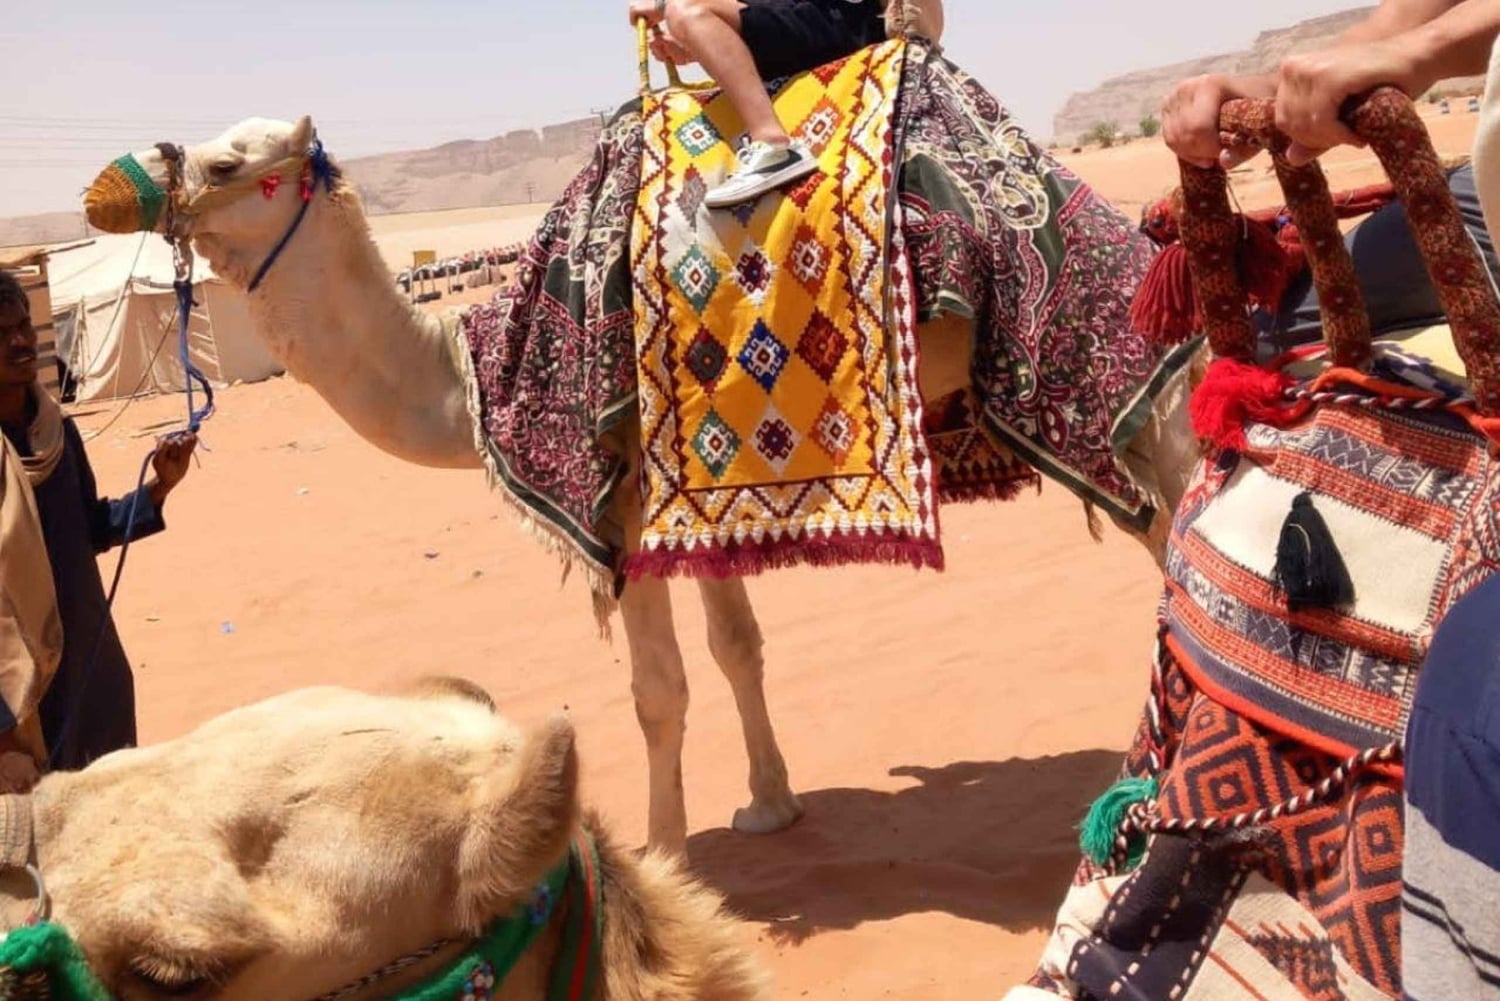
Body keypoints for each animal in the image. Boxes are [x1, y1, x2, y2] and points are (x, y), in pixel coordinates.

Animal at [82, 114, 1198, 856]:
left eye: (229, 162)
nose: (110, 188)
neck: (470, 377)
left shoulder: (616, 494)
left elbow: (659, 688)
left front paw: (665, 843)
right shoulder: (707, 483)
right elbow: (738, 646)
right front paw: (769, 802)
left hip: (1110, 381)